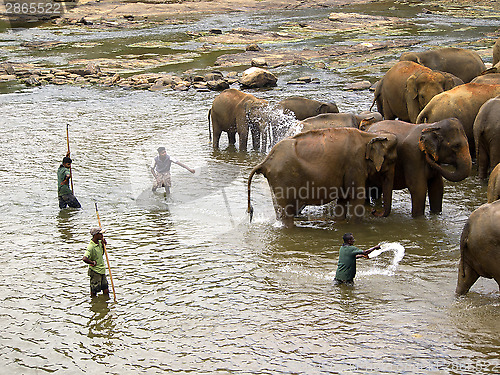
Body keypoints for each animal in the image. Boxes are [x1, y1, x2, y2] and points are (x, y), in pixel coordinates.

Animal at [245, 129, 394, 228]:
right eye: (392, 160)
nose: (374, 211)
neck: (368, 136)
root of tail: (266, 161)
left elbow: (343, 200)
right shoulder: (355, 164)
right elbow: (357, 198)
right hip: (282, 179)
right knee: (286, 213)